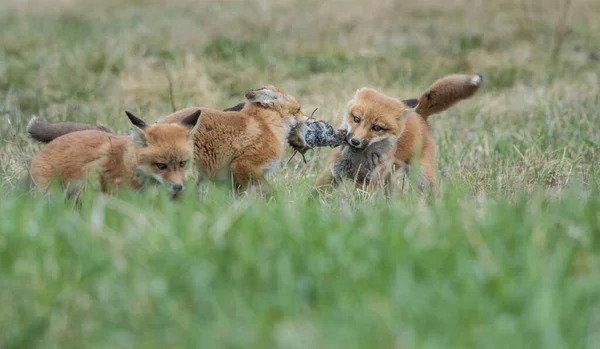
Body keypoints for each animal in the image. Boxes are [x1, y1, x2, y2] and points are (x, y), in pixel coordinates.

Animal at [314, 73, 482, 193]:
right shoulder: (332, 173)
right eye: (356, 119)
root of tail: (418, 113)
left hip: (421, 177)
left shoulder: (369, 182)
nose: (355, 141)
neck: (358, 160)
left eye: (376, 128)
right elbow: (314, 194)